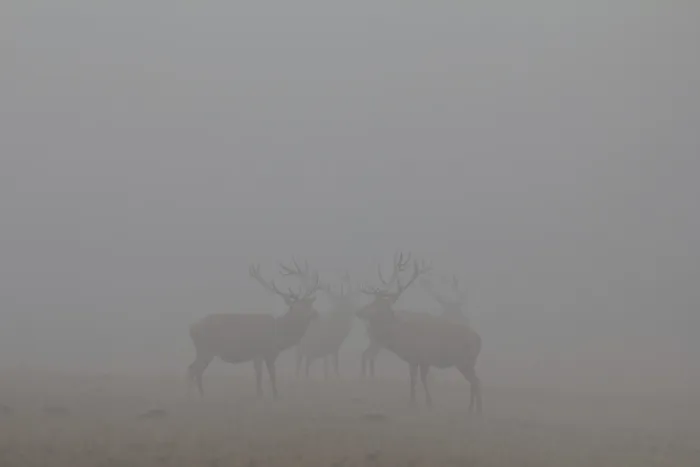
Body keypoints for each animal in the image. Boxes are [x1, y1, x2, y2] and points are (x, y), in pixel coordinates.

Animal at [187, 262, 320, 398]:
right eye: (295, 307)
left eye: (309, 304)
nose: (316, 314)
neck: (279, 336)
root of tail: (192, 328)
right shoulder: (260, 352)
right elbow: (265, 374)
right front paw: (267, 395)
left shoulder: (268, 354)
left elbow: (268, 374)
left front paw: (268, 394)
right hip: (206, 349)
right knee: (193, 369)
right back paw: (198, 395)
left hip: (204, 351)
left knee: (193, 368)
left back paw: (196, 394)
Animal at [356, 252, 483, 413]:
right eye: (371, 302)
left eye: (377, 304)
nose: (358, 311)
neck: (399, 337)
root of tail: (480, 340)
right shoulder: (423, 360)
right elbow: (422, 378)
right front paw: (427, 401)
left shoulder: (415, 356)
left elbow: (415, 378)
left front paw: (414, 402)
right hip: (469, 362)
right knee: (475, 381)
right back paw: (471, 407)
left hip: (464, 360)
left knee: (476, 381)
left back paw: (476, 409)